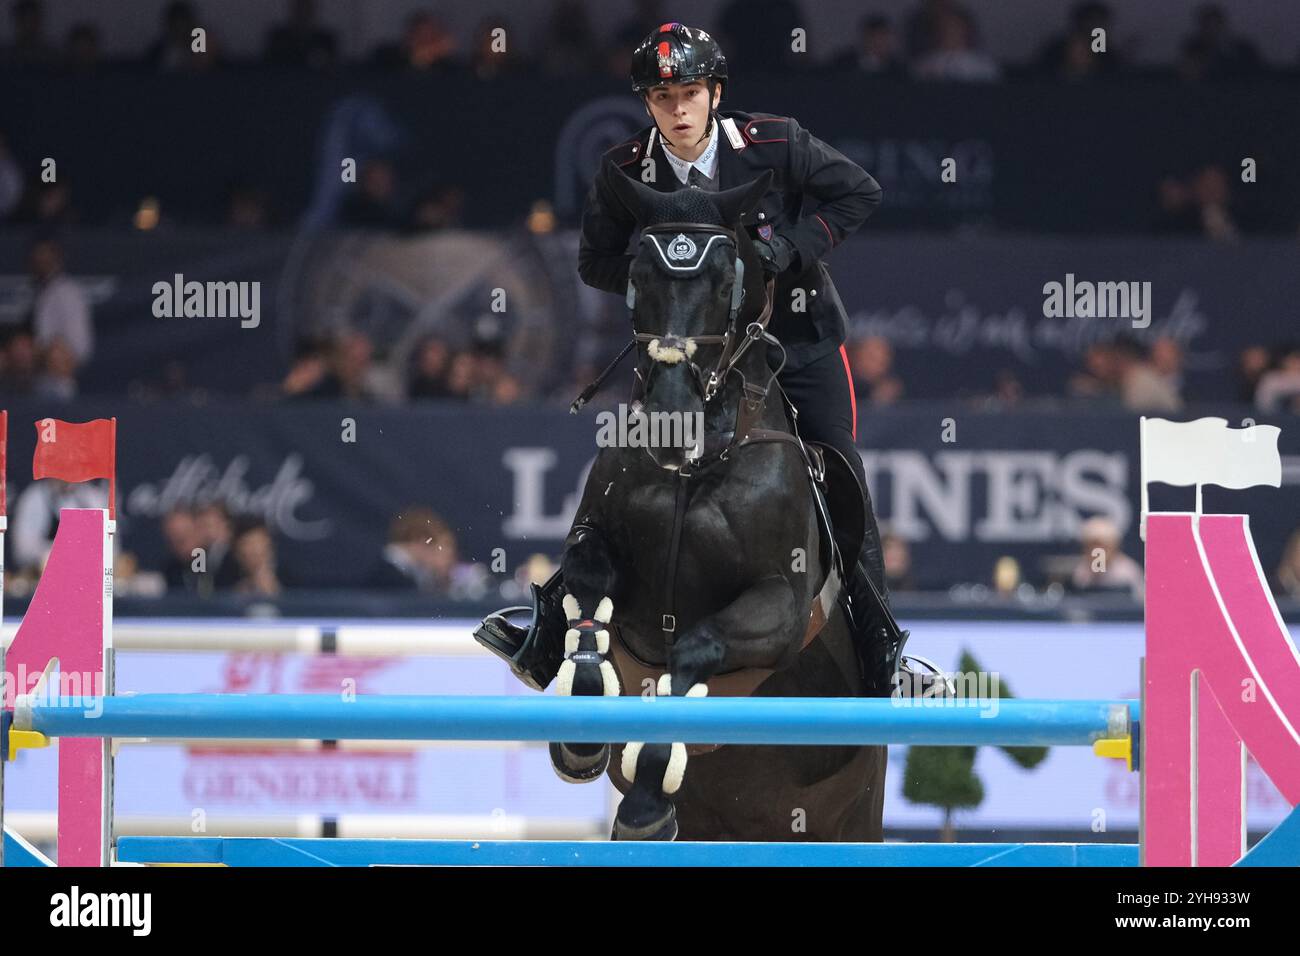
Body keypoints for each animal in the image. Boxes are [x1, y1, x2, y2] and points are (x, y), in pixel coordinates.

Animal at [506, 166, 894, 842]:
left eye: (724, 282)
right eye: (637, 276)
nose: (668, 416)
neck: (697, 458)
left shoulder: (780, 606)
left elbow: (694, 648)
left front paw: (645, 798)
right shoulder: (596, 536)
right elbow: (588, 587)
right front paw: (584, 726)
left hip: (850, 819)